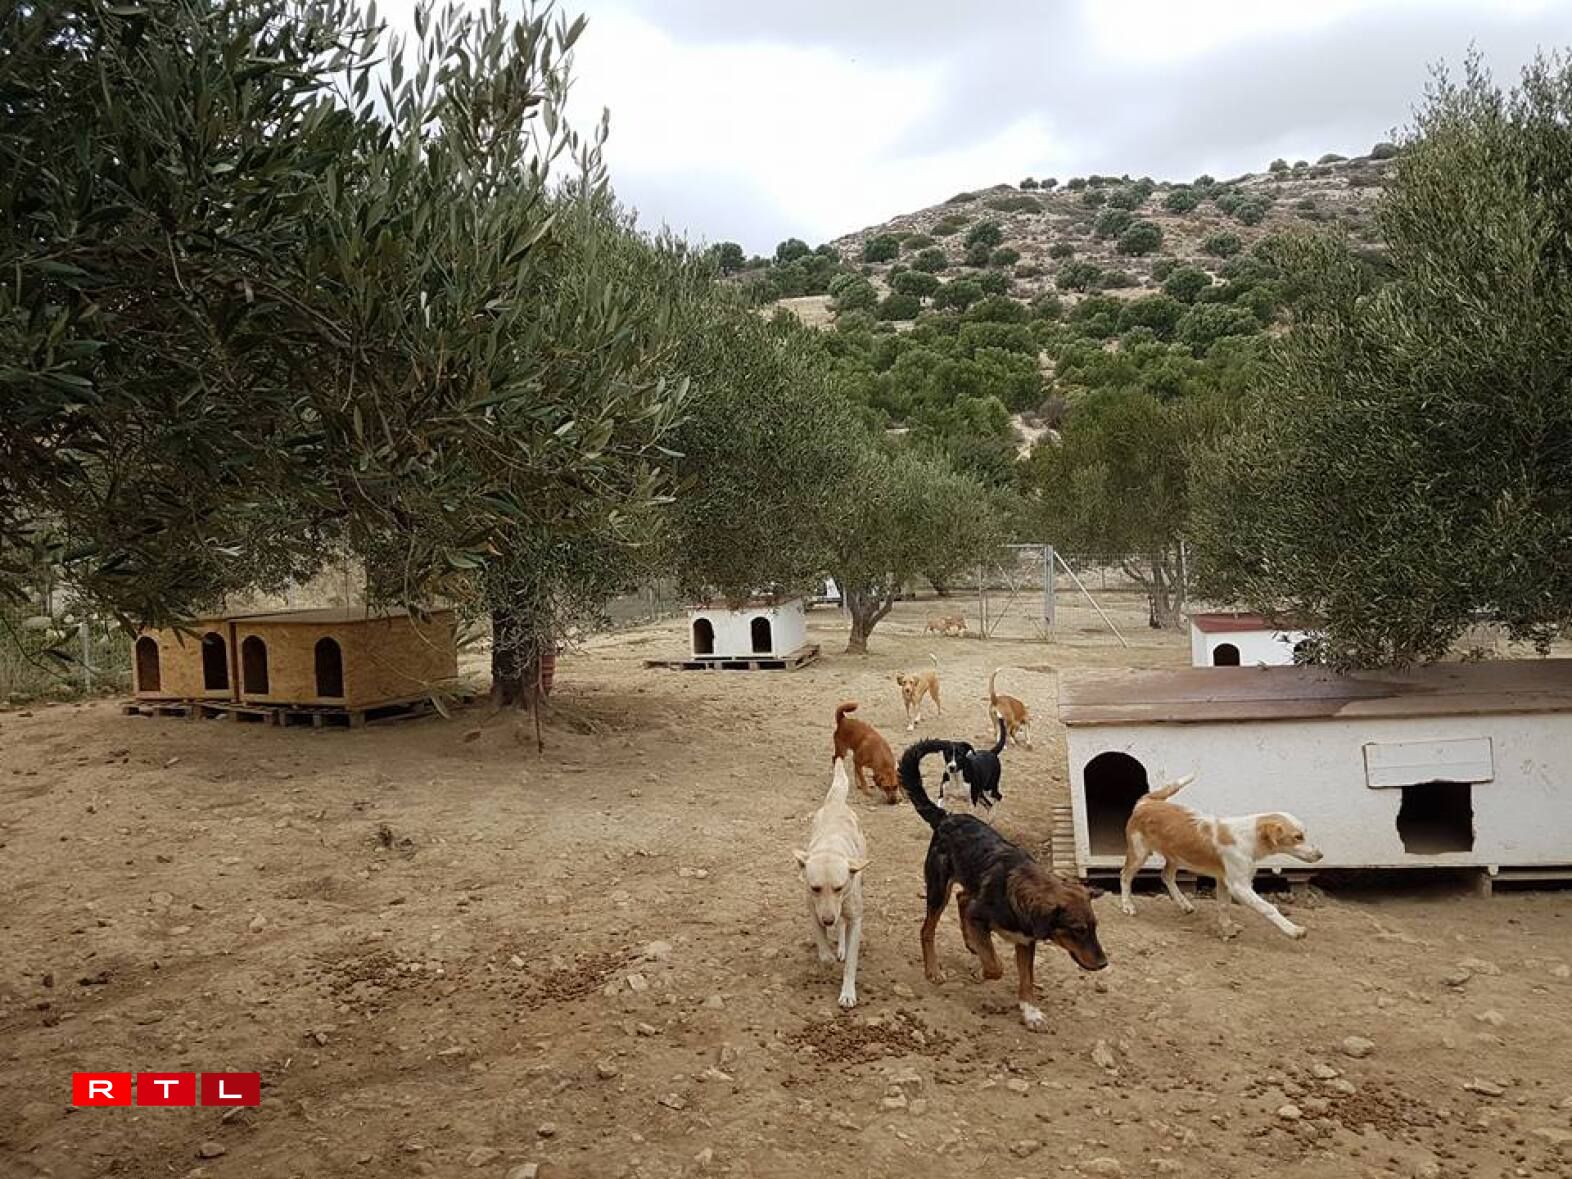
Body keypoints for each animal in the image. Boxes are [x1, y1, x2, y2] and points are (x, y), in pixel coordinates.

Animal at [795, 756, 869, 1008]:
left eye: (838, 887)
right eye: (815, 888)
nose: (828, 920)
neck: (831, 847)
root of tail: (836, 803)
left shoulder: (855, 916)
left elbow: (851, 963)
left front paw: (847, 993)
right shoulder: (812, 906)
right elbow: (820, 937)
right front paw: (826, 956)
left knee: (843, 924)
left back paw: (842, 947)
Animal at [899, 739, 1108, 1030]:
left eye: (1095, 928)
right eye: (1077, 930)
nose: (1103, 963)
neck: (1017, 897)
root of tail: (947, 817)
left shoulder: (1026, 941)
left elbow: (1026, 980)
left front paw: (1030, 1012)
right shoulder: (980, 917)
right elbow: (996, 967)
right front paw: (981, 970)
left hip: (967, 883)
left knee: (962, 899)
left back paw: (971, 944)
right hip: (938, 889)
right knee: (928, 929)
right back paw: (933, 970)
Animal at [1118, 774, 1323, 939]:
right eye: (1298, 837)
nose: (1320, 855)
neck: (1248, 838)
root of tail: (1146, 802)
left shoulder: (1224, 880)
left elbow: (1224, 906)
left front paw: (1227, 928)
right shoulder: (1239, 886)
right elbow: (1268, 907)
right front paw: (1294, 930)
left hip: (1176, 855)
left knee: (1166, 876)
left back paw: (1184, 903)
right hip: (1139, 852)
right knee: (1125, 875)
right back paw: (1127, 905)